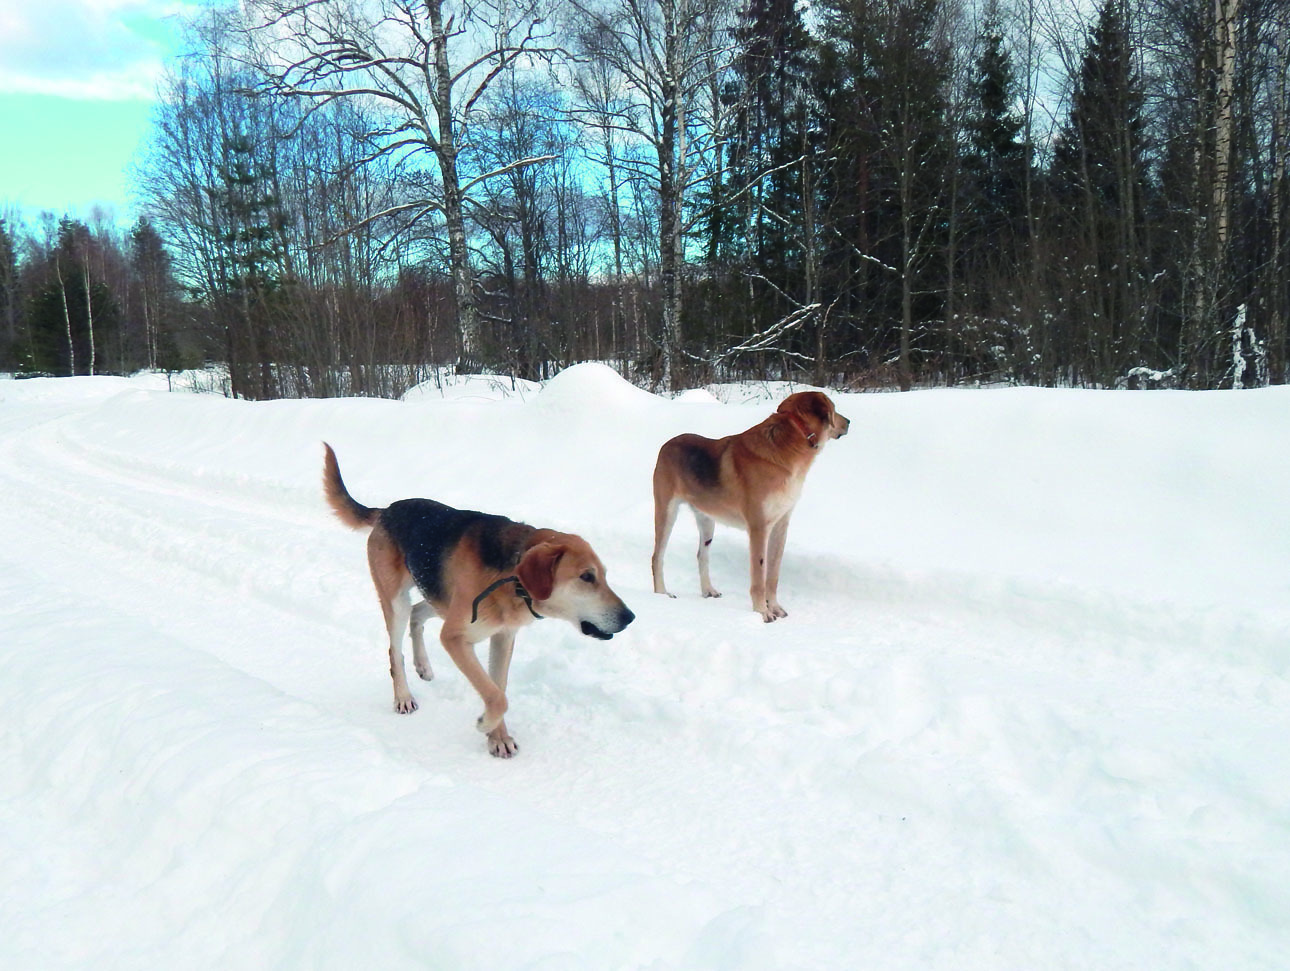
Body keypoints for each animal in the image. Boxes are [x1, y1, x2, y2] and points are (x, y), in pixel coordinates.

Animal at [322, 446, 634, 758]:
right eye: (587, 576)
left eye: (604, 575)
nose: (629, 617)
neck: (513, 578)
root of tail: (387, 510)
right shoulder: (454, 637)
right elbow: (496, 696)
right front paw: (486, 723)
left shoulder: (503, 637)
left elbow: (498, 687)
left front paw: (498, 738)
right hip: (398, 600)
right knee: (395, 649)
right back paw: (403, 696)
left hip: (441, 599)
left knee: (417, 614)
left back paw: (423, 665)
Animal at [650, 389, 851, 621]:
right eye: (834, 409)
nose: (848, 422)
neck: (792, 440)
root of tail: (667, 444)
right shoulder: (759, 527)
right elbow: (759, 575)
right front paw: (762, 613)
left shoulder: (780, 525)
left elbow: (772, 575)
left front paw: (775, 607)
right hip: (666, 511)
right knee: (657, 556)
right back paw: (662, 594)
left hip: (707, 519)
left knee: (702, 555)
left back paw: (708, 590)